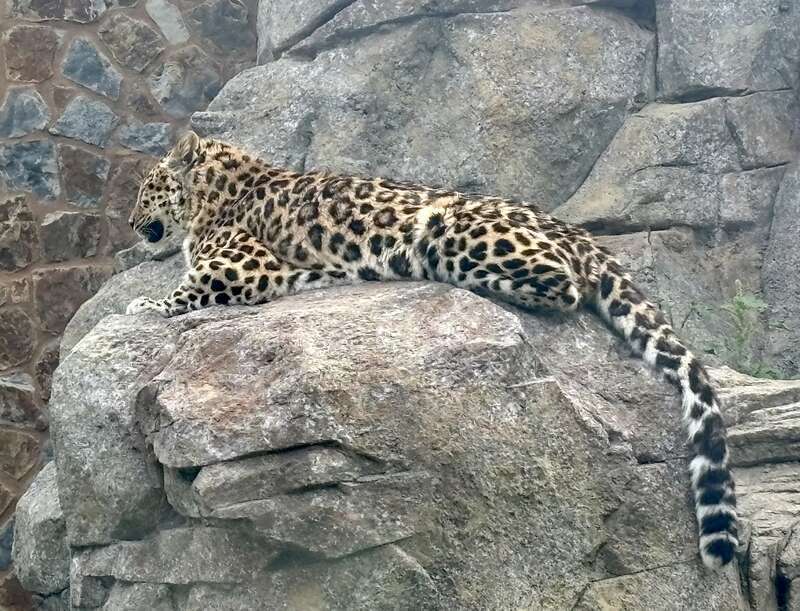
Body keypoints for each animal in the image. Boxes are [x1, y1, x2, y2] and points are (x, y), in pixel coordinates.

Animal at [127, 131, 738, 570]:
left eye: (145, 187)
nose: (132, 224)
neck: (218, 189)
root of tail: (577, 230)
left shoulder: (243, 267)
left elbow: (181, 294)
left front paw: (142, 306)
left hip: (455, 228)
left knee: (560, 285)